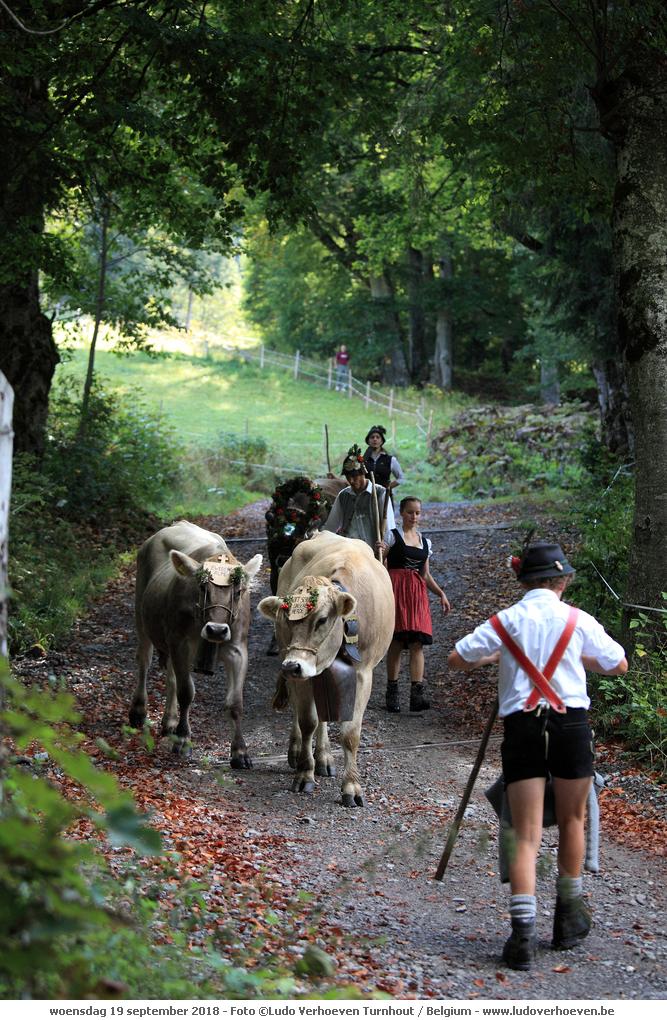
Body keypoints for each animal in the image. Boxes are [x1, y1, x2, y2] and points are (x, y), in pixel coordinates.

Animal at [130, 522, 263, 762]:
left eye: (238, 591)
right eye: (202, 588)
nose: (217, 630)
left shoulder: (237, 649)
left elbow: (235, 702)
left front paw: (240, 751)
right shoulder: (180, 643)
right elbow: (186, 693)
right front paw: (183, 740)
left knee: (171, 676)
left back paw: (170, 721)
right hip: (142, 618)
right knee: (144, 660)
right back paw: (138, 711)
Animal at [255, 530, 391, 807]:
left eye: (322, 620)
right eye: (286, 619)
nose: (292, 665)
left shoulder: (363, 674)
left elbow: (350, 733)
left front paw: (351, 787)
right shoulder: (302, 674)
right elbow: (308, 721)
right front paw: (304, 774)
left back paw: (325, 757)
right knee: (302, 712)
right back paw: (298, 751)